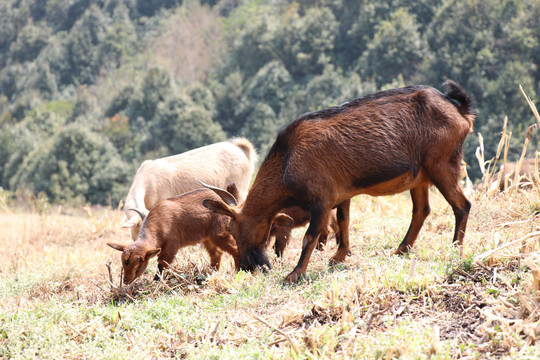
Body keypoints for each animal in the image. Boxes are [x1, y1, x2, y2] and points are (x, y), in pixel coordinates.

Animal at [106, 184, 239, 286]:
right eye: (123, 264)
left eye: (138, 267)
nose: (126, 281)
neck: (159, 220)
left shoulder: (171, 246)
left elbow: (162, 265)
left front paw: (155, 283)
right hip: (208, 238)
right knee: (216, 254)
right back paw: (211, 274)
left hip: (219, 234)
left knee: (235, 249)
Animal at [204, 81, 476, 284]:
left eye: (233, 229)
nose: (246, 267)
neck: (287, 160)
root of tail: (460, 111)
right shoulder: (341, 194)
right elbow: (344, 222)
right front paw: (340, 256)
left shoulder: (321, 199)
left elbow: (310, 237)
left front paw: (294, 275)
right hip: (420, 175)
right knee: (421, 210)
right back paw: (401, 249)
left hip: (443, 164)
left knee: (462, 205)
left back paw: (454, 249)